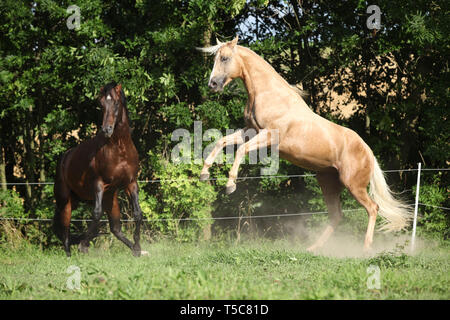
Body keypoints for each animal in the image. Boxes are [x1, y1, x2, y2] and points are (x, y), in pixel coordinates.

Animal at [52, 82, 144, 258]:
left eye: (116, 103)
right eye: (101, 104)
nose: (107, 129)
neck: (120, 150)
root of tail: (65, 157)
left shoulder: (131, 183)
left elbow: (137, 213)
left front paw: (137, 247)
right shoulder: (99, 184)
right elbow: (96, 214)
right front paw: (83, 246)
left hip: (109, 199)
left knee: (115, 229)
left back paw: (135, 249)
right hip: (65, 202)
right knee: (64, 230)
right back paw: (70, 255)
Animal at [199, 37, 414, 252]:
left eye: (225, 58)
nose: (212, 84)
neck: (269, 95)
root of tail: (368, 152)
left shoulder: (268, 137)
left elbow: (240, 150)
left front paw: (230, 185)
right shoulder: (250, 132)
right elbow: (221, 142)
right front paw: (204, 174)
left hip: (353, 185)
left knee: (372, 208)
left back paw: (365, 249)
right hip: (328, 183)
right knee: (337, 215)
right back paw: (314, 248)